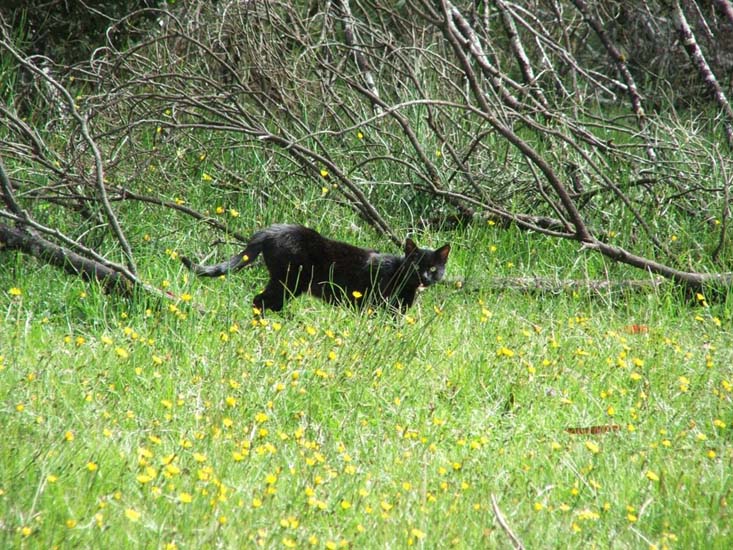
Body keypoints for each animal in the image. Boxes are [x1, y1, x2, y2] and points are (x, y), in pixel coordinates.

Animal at [180, 225, 448, 312]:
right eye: (416, 266)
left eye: (434, 269)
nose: (425, 277)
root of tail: (270, 230)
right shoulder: (380, 308)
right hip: (290, 281)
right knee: (260, 300)